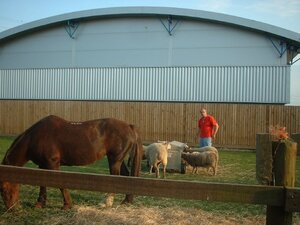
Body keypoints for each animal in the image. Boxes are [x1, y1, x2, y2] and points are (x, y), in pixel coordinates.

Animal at [0, 115, 142, 210]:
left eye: (4, 188)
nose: (11, 208)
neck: (35, 137)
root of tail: (129, 126)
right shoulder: (43, 166)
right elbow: (43, 184)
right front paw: (40, 204)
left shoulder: (52, 164)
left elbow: (60, 184)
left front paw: (67, 205)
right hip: (118, 160)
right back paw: (126, 202)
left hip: (115, 160)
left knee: (115, 177)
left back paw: (107, 203)